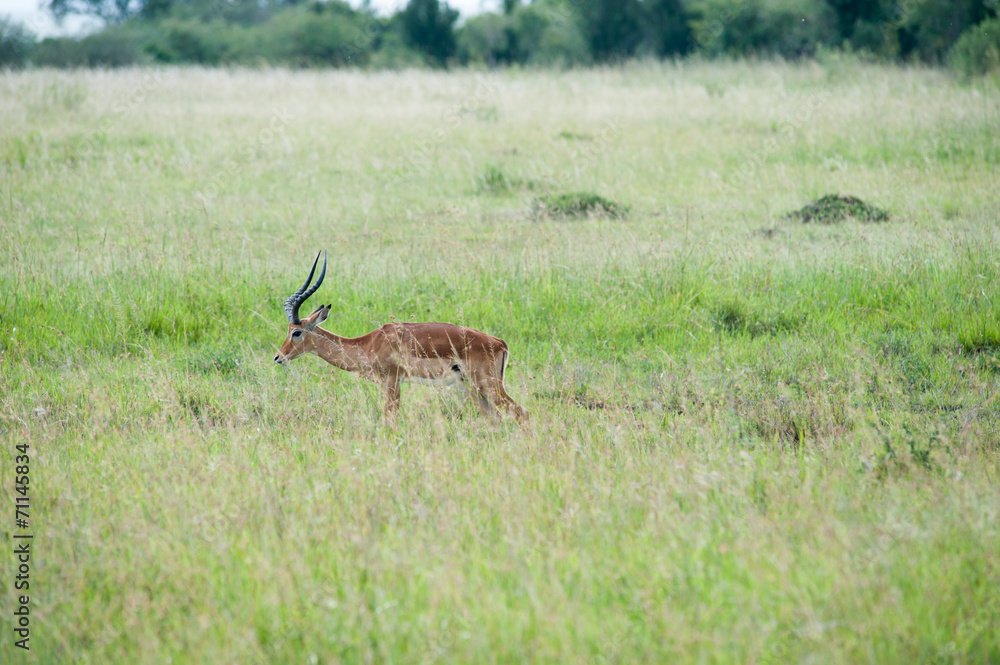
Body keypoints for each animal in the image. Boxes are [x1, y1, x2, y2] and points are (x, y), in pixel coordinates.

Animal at [274, 251, 528, 425]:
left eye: (296, 331)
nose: (278, 357)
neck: (369, 343)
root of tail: (499, 343)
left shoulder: (392, 381)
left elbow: (391, 417)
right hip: (472, 388)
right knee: (495, 418)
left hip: (488, 386)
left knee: (521, 412)